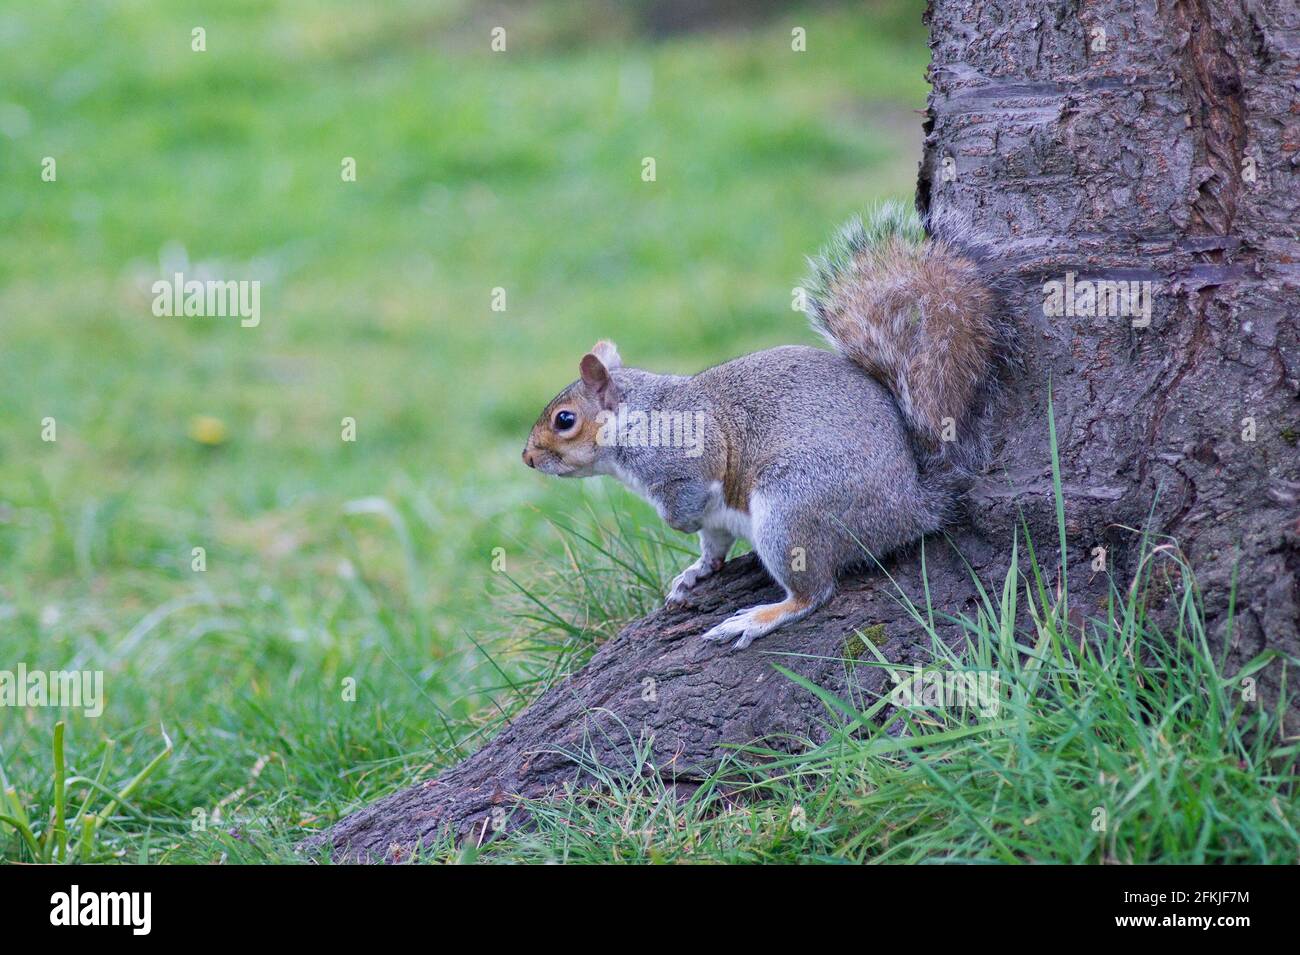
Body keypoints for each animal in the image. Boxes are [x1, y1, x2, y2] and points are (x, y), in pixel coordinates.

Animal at [523, 202, 998, 649]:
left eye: (564, 420)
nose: (527, 458)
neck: (636, 418)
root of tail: (912, 506)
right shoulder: (714, 518)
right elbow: (713, 542)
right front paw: (697, 570)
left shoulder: (688, 456)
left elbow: (690, 498)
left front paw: (678, 525)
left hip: (791, 507)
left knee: (813, 593)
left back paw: (758, 618)